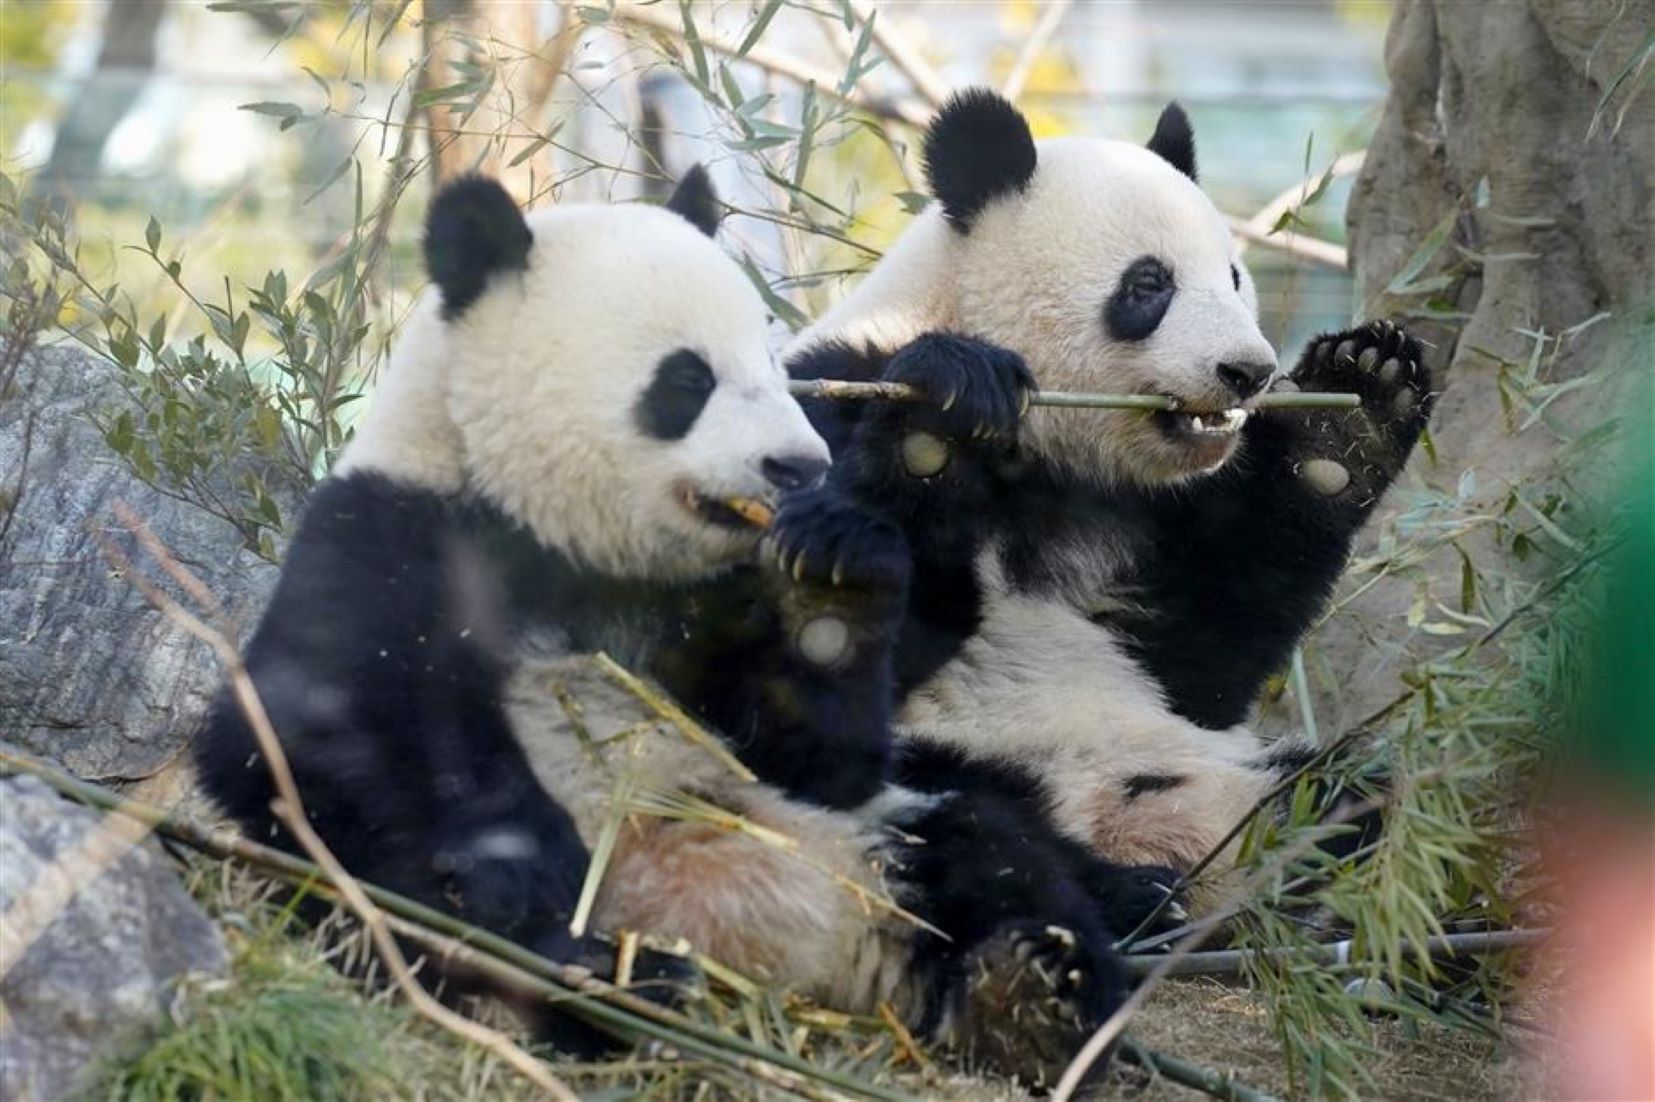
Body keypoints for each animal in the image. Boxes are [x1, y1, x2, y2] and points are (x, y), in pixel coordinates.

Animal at [193, 167, 1171, 1078]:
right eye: (688, 381)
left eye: (775, 370)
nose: (796, 466)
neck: (578, 545)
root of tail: (776, 957)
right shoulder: (391, 537)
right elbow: (301, 738)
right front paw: (520, 856)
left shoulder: (719, 600)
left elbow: (814, 754)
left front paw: (839, 575)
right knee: (433, 926)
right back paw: (612, 981)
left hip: (866, 837)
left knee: (985, 852)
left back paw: (1035, 995)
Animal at [787, 88, 1436, 906]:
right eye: (1148, 284)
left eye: (1233, 277)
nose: (1247, 372)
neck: (1050, 454)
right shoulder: (828, 399)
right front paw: (939, 417)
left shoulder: (1146, 513)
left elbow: (1204, 657)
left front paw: (1352, 406)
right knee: (961, 838)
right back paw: (1124, 902)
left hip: (1232, 784)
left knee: (1361, 805)